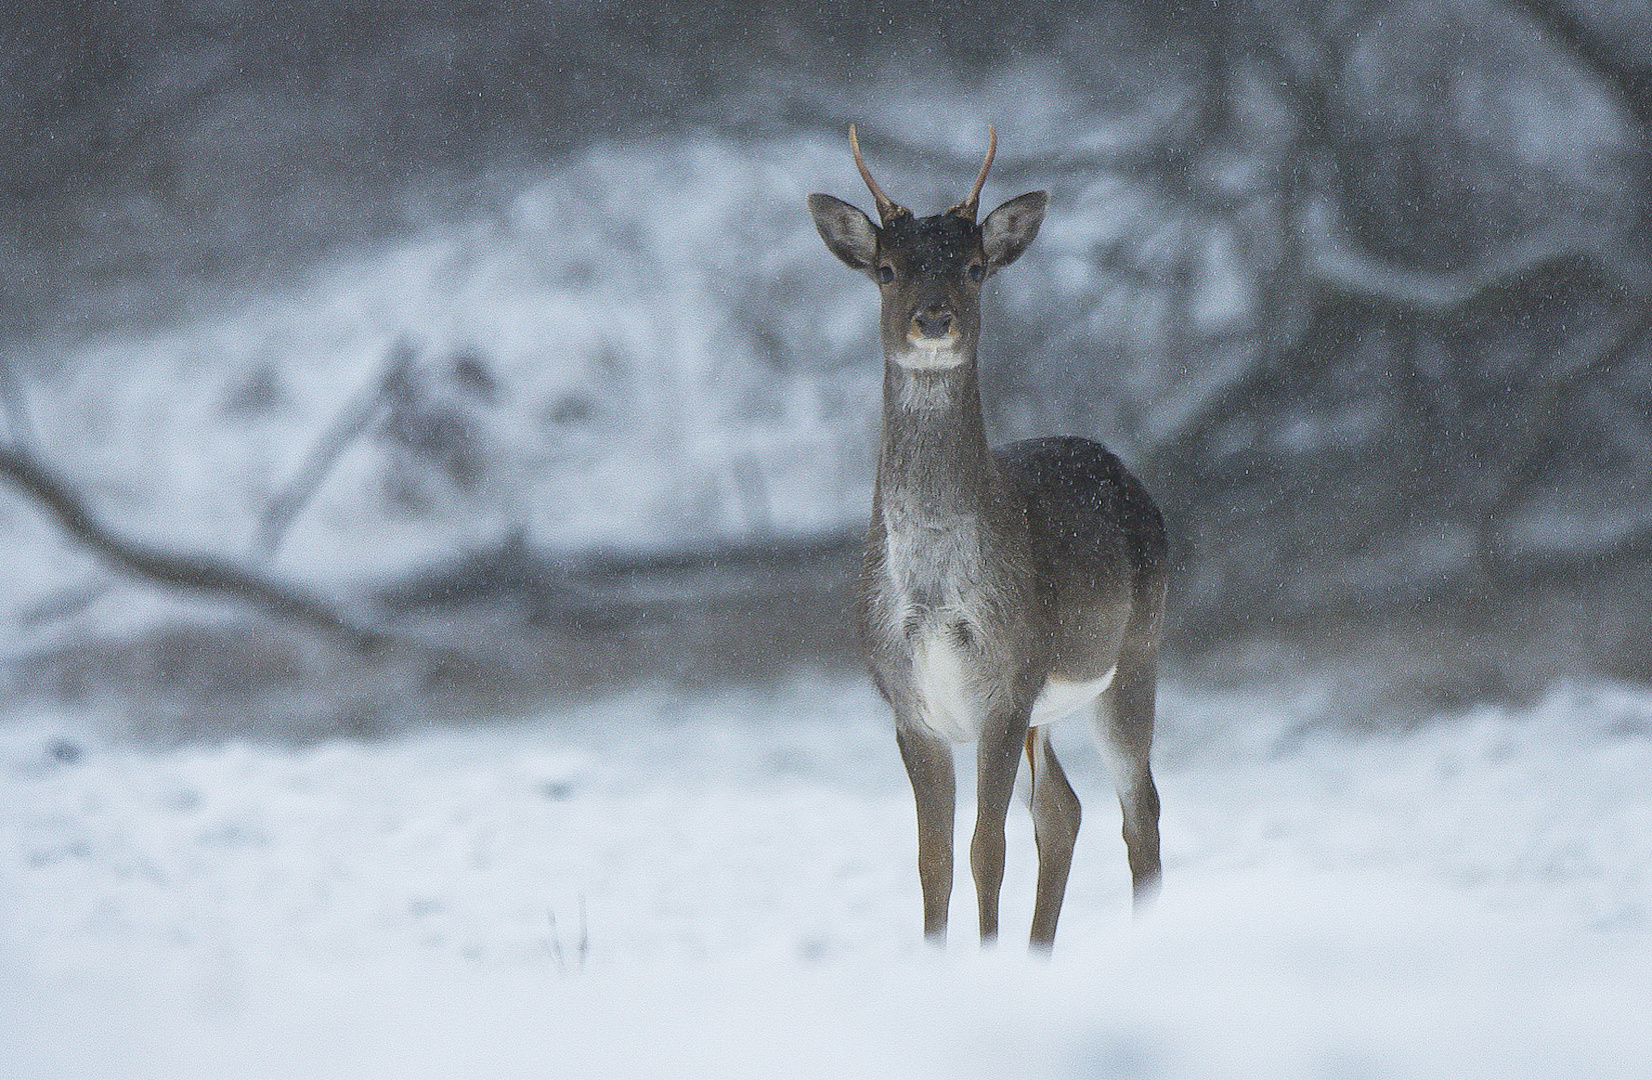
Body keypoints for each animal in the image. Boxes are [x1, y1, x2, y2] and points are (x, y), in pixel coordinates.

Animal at [806, 127, 1169, 957]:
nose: (934, 320)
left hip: (1134, 654)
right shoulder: (908, 702)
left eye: (973, 267)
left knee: (1140, 813)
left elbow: (987, 849)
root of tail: (1123, 469)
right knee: (1065, 812)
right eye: (886, 270)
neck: (935, 595)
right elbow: (933, 860)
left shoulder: (1008, 680)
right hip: (1051, 707)